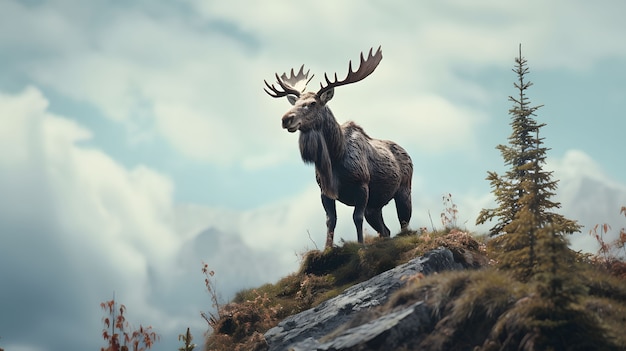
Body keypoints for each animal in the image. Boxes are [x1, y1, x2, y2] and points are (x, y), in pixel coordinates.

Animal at [262, 47, 410, 250]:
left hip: (404, 190)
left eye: (312, 103)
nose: (286, 119)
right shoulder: (324, 191)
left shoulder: (362, 185)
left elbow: (356, 217)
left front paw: (361, 246)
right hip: (375, 205)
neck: (335, 156)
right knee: (385, 230)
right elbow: (330, 220)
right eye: (296, 102)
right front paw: (327, 249)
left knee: (404, 223)